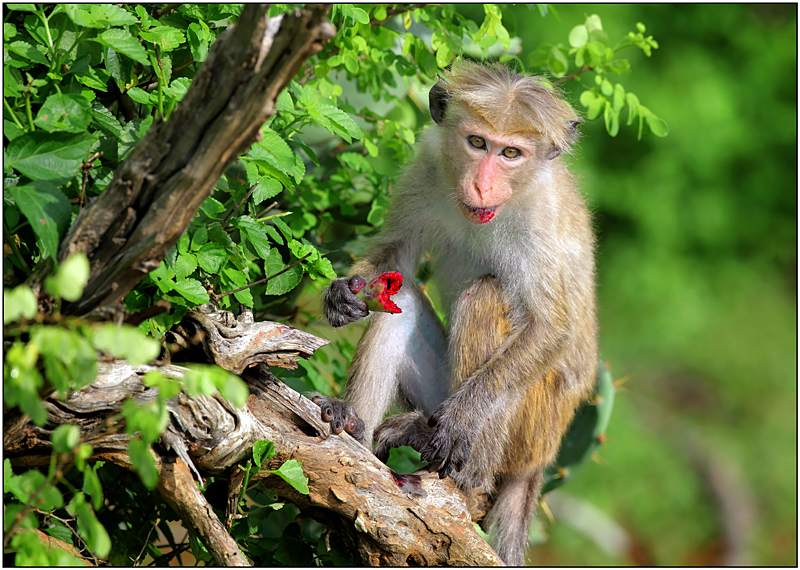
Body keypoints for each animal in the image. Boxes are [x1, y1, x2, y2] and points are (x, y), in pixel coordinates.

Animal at [316, 62, 596, 564]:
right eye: (477, 143)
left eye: (511, 153)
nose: (482, 183)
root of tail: (540, 463)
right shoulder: (426, 166)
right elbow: (397, 258)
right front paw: (344, 292)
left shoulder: (542, 217)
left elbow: (551, 328)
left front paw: (462, 421)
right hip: (439, 397)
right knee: (401, 305)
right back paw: (352, 424)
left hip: (531, 429)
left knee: (484, 297)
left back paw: (470, 479)